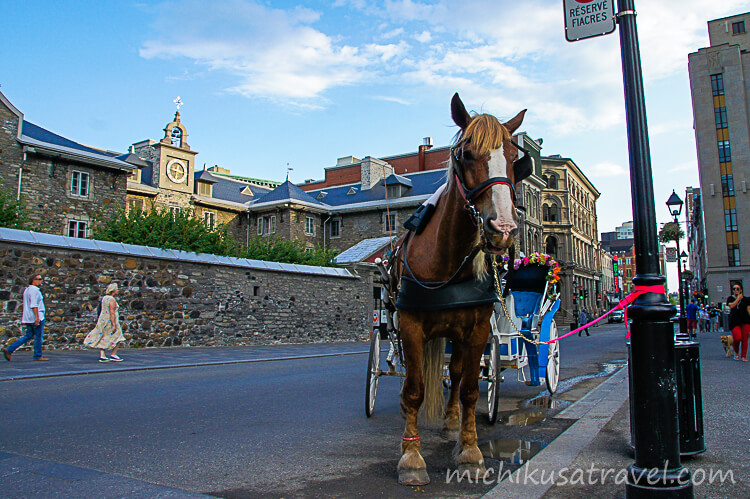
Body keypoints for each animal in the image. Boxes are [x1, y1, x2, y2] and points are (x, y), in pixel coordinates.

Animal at [394, 93, 528, 484]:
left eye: (513, 158)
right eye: (467, 154)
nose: (503, 229)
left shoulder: (478, 330)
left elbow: (469, 388)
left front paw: (470, 451)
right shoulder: (410, 326)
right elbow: (415, 389)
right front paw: (411, 457)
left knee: (453, 376)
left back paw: (452, 422)